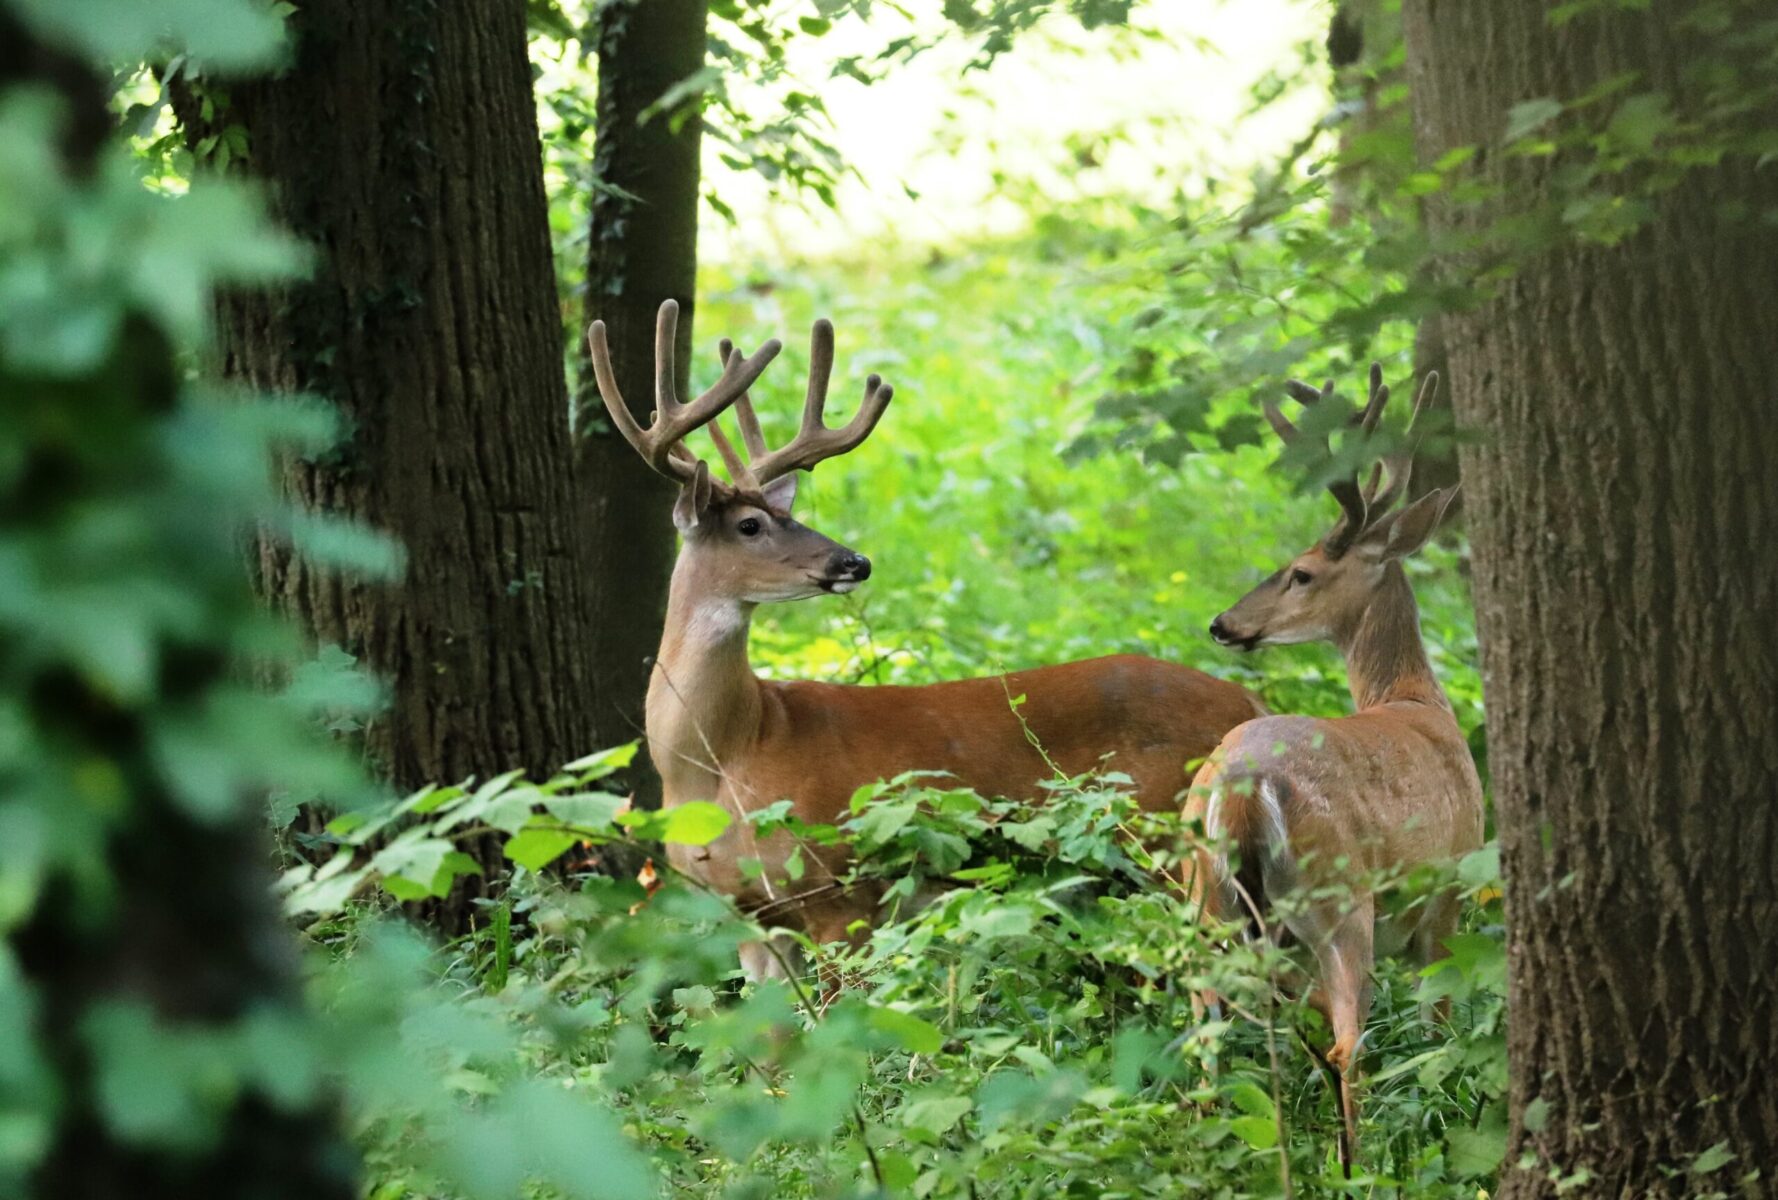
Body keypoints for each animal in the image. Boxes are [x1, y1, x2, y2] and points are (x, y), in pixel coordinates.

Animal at [593, 298, 1265, 974]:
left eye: (788, 514)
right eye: (752, 525)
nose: (854, 561)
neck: (725, 755)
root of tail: (1251, 704)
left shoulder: (840, 890)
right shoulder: (746, 916)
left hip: (1172, 836)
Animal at [1187, 366, 1479, 1173]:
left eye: (1301, 572)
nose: (1222, 624)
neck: (1415, 700)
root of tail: (1240, 789)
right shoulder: (1447, 893)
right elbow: (1440, 1027)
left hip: (1208, 901)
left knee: (1209, 1030)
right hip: (1341, 901)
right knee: (1347, 1042)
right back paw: (1359, 1170)